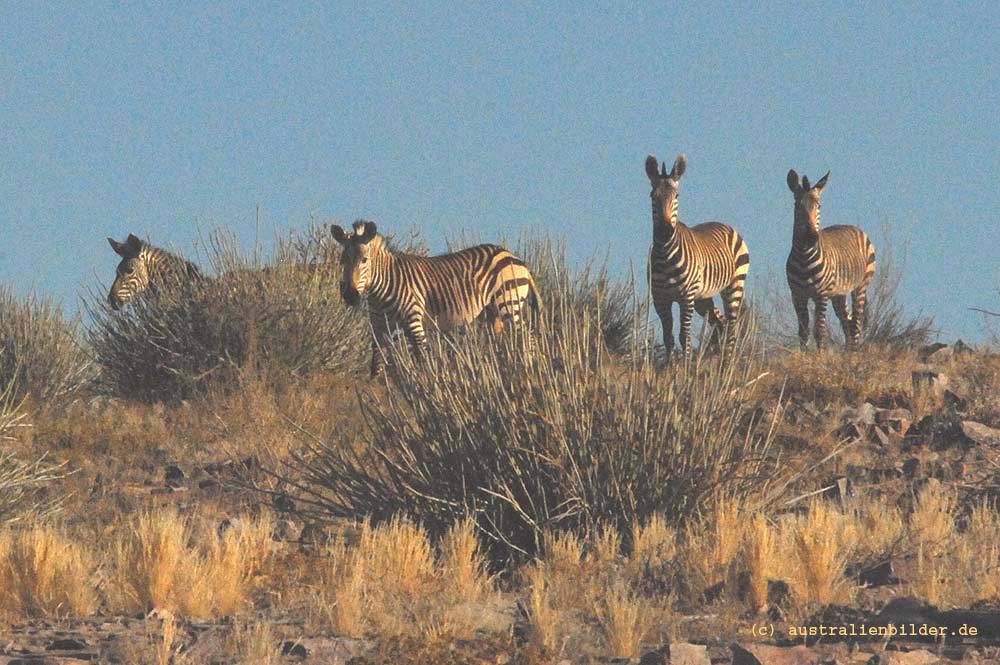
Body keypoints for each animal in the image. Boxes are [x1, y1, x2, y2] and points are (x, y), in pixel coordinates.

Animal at [332, 220, 544, 376]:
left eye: (364, 261)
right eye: (342, 261)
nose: (350, 296)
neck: (380, 291)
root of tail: (513, 256)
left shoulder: (413, 320)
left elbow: (422, 358)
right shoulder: (378, 327)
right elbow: (376, 365)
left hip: (509, 303)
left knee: (526, 336)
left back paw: (528, 368)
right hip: (491, 313)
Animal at [648, 154, 752, 358]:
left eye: (677, 196)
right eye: (652, 196)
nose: (664, 232)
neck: (665, 254)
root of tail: (725, 224)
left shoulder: (686, 296)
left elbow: (684, 336)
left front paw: (685, 365)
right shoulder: (660, 298)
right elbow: (668, 338)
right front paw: (670, 364)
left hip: (734, 285)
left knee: (732, 328)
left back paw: (726, 363)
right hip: (703, 298)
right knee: (721, 323)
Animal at [788, 169, 876, 350]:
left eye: (819, 206)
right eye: (797, 206)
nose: (811, 238)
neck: (804, 256)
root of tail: (852, 226)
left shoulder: (822, 294)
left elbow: (819, 331)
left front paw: (820, 355)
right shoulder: (797, 295)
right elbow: (803, 332)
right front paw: (804, 354)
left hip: (861, 286)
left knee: (856, 322)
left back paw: (853, 353)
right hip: (839, 293)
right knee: (846, 321)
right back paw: (847, 352)